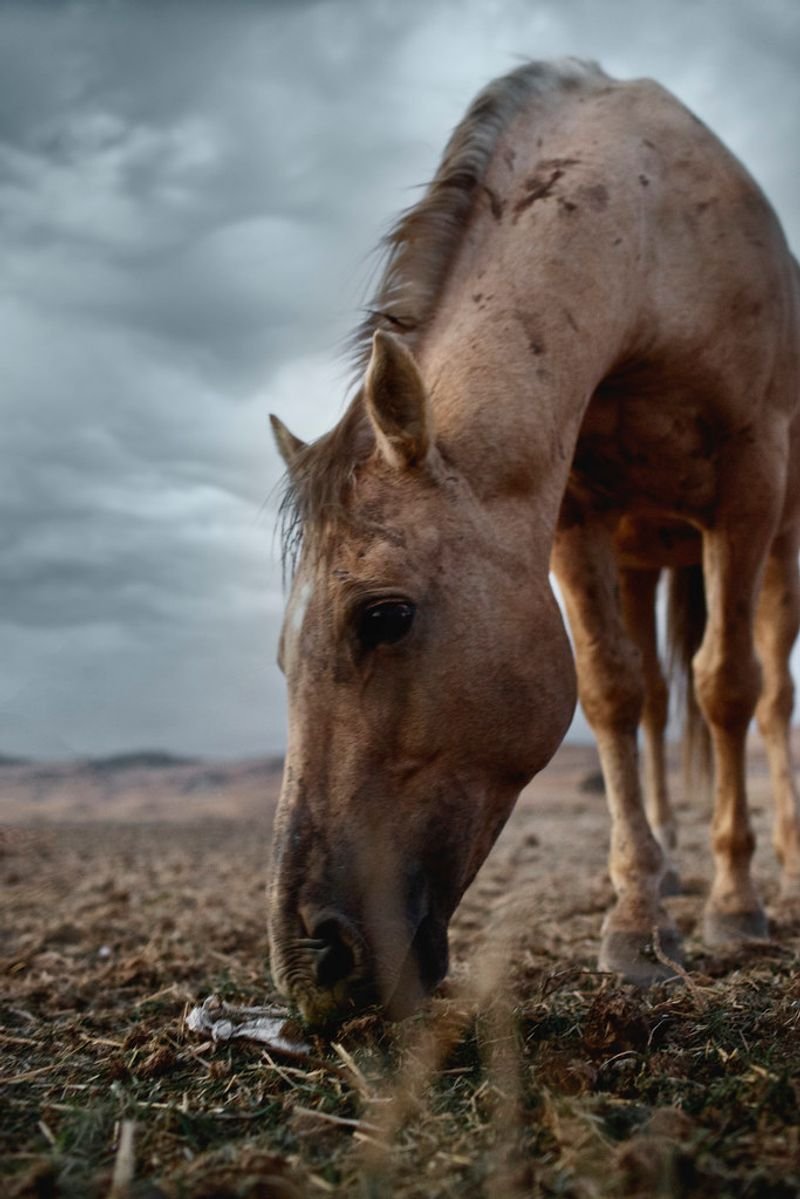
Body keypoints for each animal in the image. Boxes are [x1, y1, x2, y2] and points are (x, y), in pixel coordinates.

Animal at [267, 59, 800, 1024]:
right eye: (281, 656)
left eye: (385, 616)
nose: (313, 960)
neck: (651, 247)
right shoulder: (577, 514)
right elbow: (614, 693)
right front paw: (637, 923)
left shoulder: (748, 489)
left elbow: (728, 688)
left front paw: (736, 907)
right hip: (641, 559)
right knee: (654, 697)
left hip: (780, 542)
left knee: (770, 696)